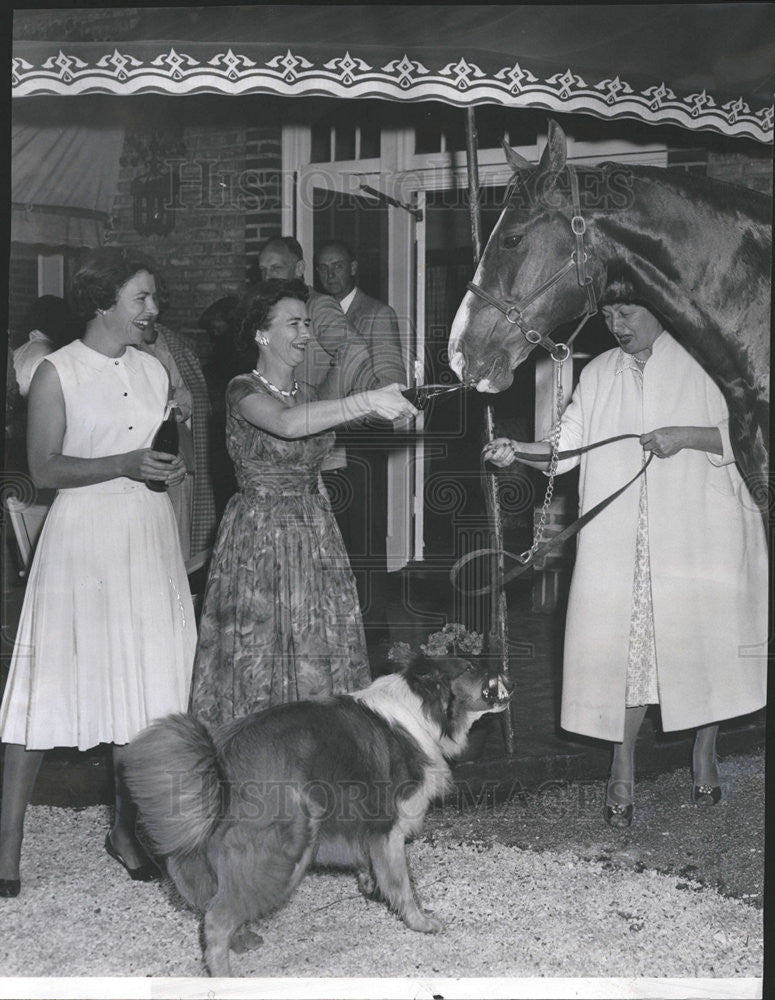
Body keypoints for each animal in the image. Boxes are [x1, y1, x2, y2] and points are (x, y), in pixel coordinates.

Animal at [123, 652, 510, 972]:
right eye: (470, 666)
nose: (502, 666)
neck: (420, 709)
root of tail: (221, 764)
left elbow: (372, 867)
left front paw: (372, 888)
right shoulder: (388, 827)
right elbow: (401, 884)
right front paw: (420, 922)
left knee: (213, 907)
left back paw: (243, 940)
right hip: (283, 852)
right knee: (217, 918)